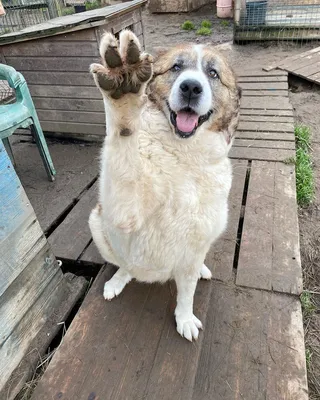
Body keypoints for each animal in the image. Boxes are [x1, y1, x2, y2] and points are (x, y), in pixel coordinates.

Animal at [87, 30, 240, 340]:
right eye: (176, 67)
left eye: (213, 73)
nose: (191, 87)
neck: (183, 154)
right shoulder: (123, 212)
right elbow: (123, 139)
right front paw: (123, 94)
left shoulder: (195, 245)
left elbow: (187, 293)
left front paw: (184, 318)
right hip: (98, 223)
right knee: (125, 265)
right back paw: (118, 280)